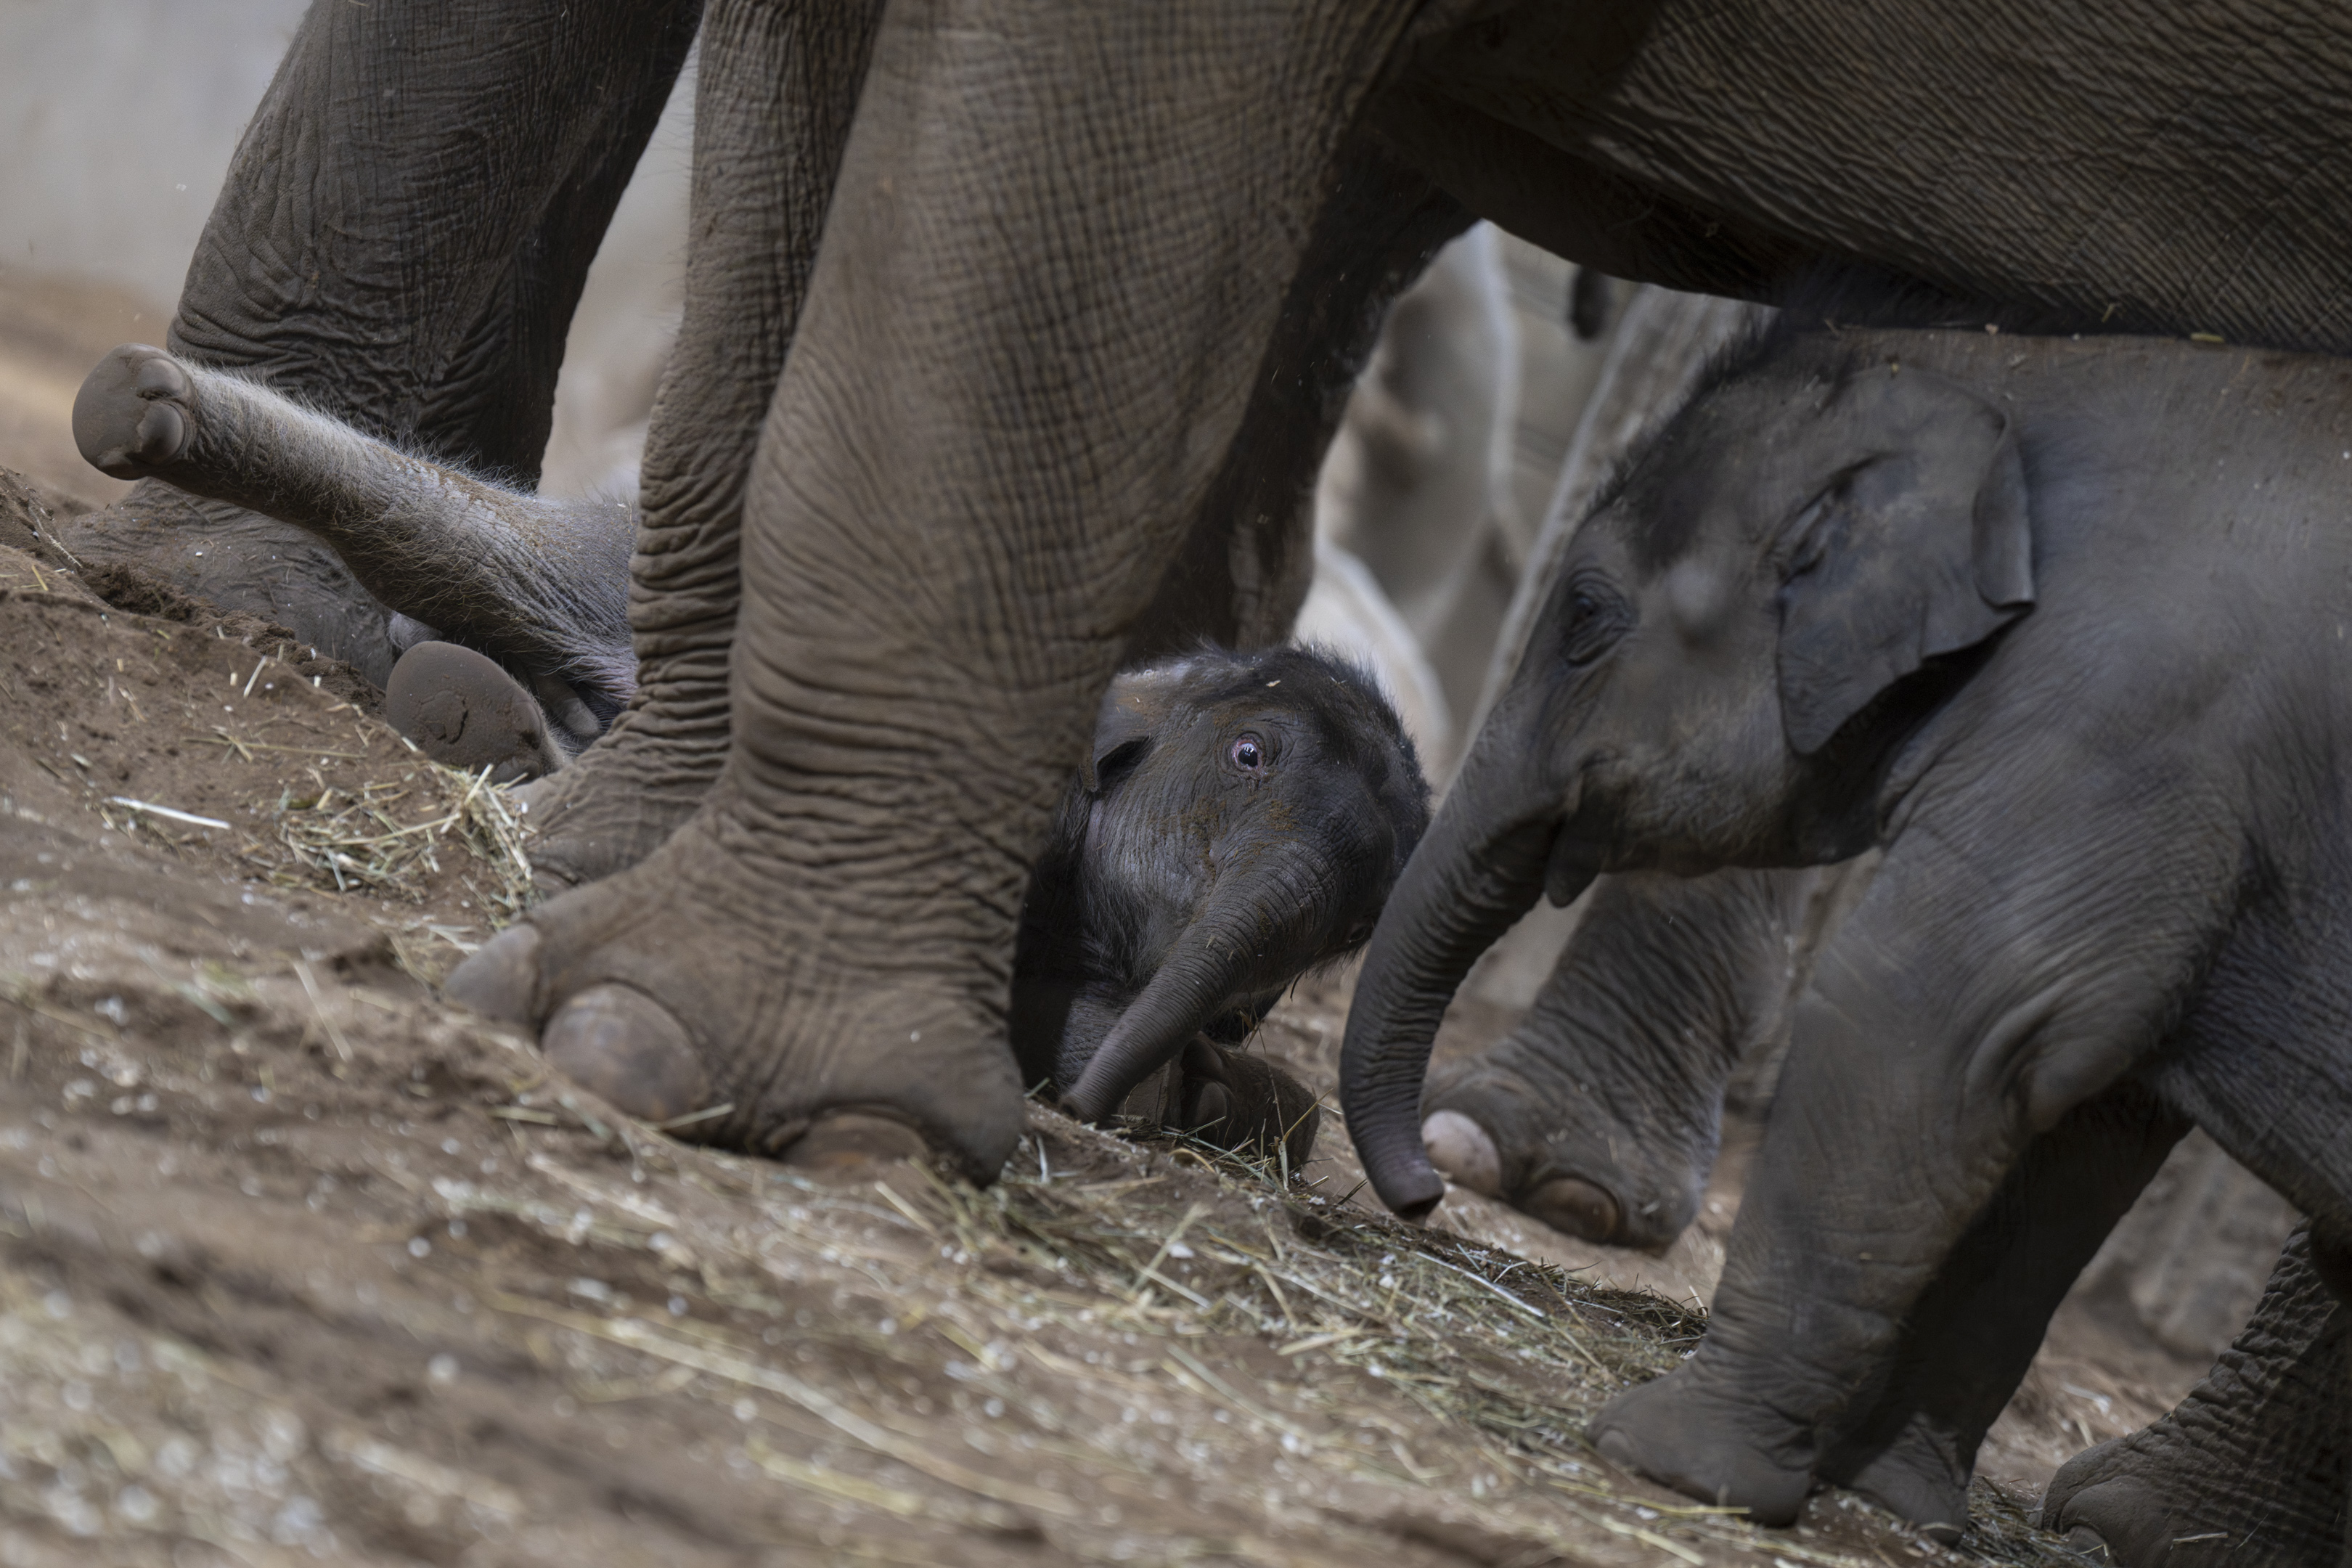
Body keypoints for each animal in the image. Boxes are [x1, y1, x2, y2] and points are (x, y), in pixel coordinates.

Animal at [1336, 313, 2352, 1534]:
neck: (2016, 381)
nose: (1424, 1193)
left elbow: (1922, 1024)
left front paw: (1664, 1458)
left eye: (1585, 618)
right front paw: (1894, 1495)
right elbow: (2077, 1119)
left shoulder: (2120, 727)